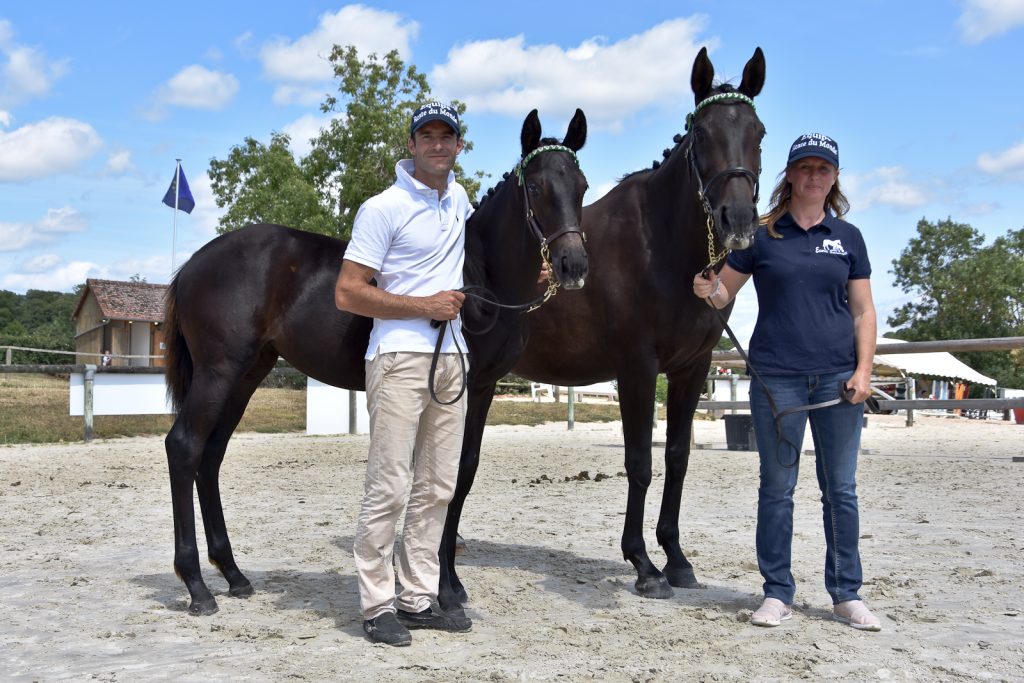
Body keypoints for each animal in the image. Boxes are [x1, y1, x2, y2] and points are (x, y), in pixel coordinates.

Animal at [163, 109, 589, 616]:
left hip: (246, 375)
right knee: (185, 447)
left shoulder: (481, 390)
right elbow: (446, 477)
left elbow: (462, 472)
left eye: (582, 186)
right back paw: (196, 586)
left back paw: (233, 574)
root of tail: (193, 263)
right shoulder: (460, 388)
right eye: (537, 187)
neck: (483, 281)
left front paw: (449, 583)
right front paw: (445, 591)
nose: (573, 265)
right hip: (219, 372)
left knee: (210, 456)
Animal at [438, 47, 765, 610]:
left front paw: (677, 559)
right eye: (702, 135)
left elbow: (677, 457)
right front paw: (644, 565)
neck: (659, 245)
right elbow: (639, 461)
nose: (738, 217)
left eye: (759, 132)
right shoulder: (637, 368)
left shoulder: (692, 368)